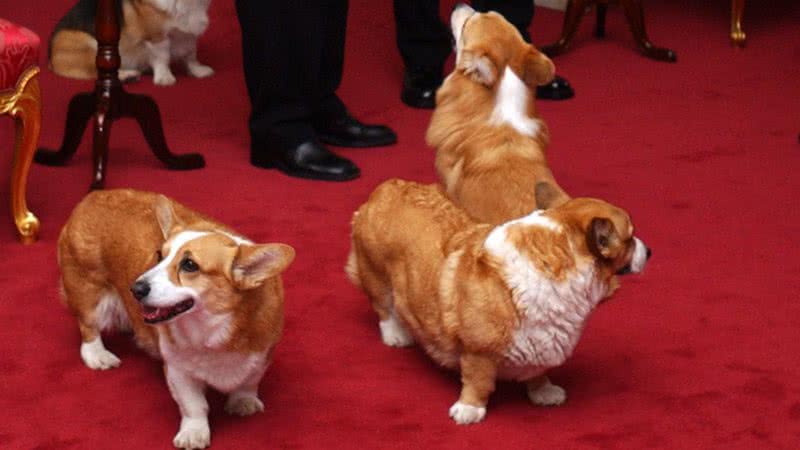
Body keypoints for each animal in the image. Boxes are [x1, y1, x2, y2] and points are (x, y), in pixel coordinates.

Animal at [48, 0, 214, 85]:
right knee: (96, 72)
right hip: (91, 46)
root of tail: (50, 59)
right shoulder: (156, 36)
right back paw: (127, 75)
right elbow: (162, 57)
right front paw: (164, 77)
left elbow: (191, 56)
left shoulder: (189, 36)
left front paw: (198, 71)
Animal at [57, 188, 294, 448]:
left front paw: (243, 402)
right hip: (88, 292)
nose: (135, 289)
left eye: (189, 265)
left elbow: (249, 381)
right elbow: (194, 406)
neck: (213, 330)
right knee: (88, 327)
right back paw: (97, 355)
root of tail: (94, 196)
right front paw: (194, 433)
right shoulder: (178, 371)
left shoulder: (262, 355)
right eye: (159, 255)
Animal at [346, 178, 648, 424]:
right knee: (384, 307)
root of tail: (385, 189)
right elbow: (478, 382)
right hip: (375, 275)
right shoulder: (477, 351)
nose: (651, 252)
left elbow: (539, 372)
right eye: (631, 237)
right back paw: (396, 334)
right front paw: (469, 410)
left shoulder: (541, 340)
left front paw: (544, 392)